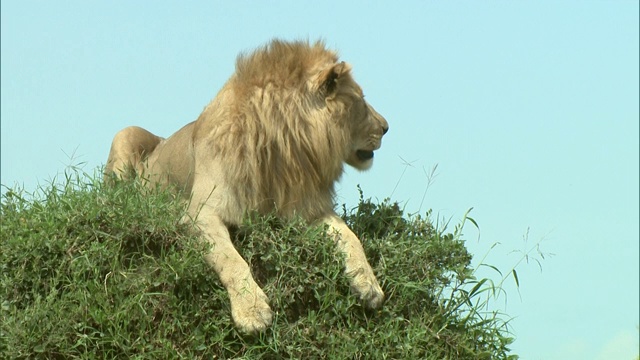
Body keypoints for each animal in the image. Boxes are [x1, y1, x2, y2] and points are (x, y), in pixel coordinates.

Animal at [104, 38, 390, 332]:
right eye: (361, 99)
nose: (386, 127)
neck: (281, 152)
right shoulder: (199, 214)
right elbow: (230, 259)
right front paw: (252, 312)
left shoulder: (306, 209)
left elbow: (348, 234)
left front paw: (368, 284)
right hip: (125, 134)